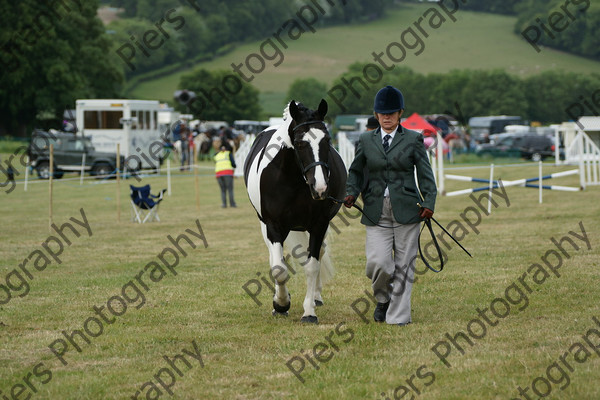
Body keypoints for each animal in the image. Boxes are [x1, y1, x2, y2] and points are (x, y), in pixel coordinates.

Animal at [244, 98, 346, 324]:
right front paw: (281, 304)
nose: (320, 187)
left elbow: (312, 265)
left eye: (327, 140)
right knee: (275, 259)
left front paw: (309, 311)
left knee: (320, 253)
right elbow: (278, 268)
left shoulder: (319, 224)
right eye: (300, 143)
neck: (293, 179)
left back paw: (316, 297)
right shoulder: (273, 225)